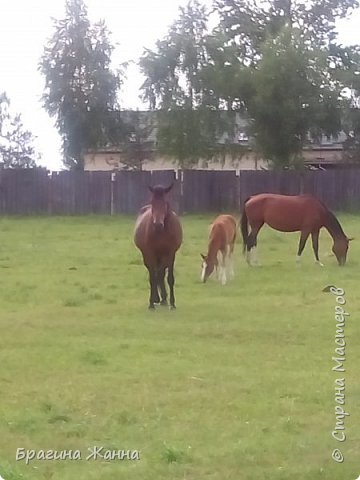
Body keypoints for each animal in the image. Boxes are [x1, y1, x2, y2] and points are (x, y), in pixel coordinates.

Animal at [134, 182, 183, 310]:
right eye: (152, 202)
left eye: (165, 203)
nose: (158, 224)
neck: (162, 232)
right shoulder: (150, 253)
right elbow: (153, 277)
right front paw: (151, 303)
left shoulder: (171, 253)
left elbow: (168, 277)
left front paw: (172, 303)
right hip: (148, 256)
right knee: (155, 273)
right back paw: (158, 298)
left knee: (160, 273)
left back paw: (164, 299)